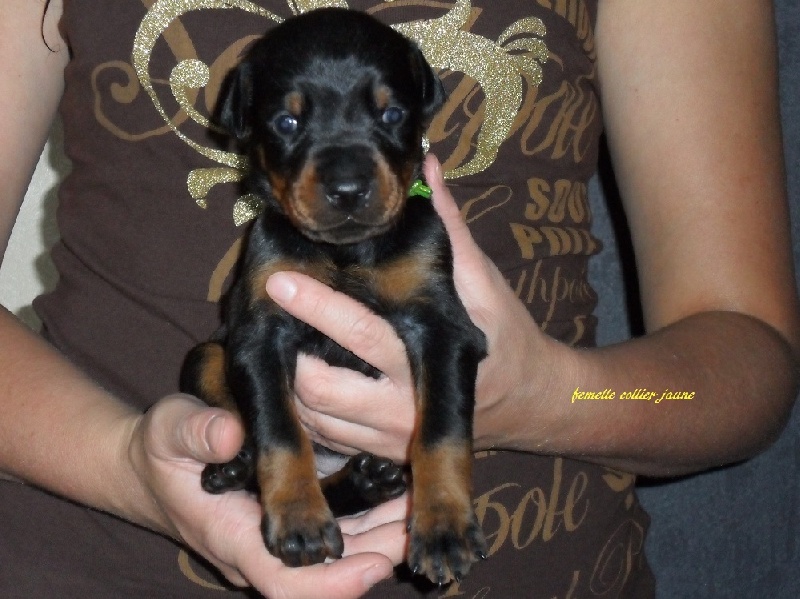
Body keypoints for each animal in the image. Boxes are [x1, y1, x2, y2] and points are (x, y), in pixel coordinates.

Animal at [181, 8, 488, 585]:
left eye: (392, 114)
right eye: (286, 123)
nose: (347, 190)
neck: (346, 251)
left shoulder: (443, 325)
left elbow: (442, 427)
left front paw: (444, 528)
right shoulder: (261, 328)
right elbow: (280, 429)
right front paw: (299, 520)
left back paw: (370, 481)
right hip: (207, 355)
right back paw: (234, 466)